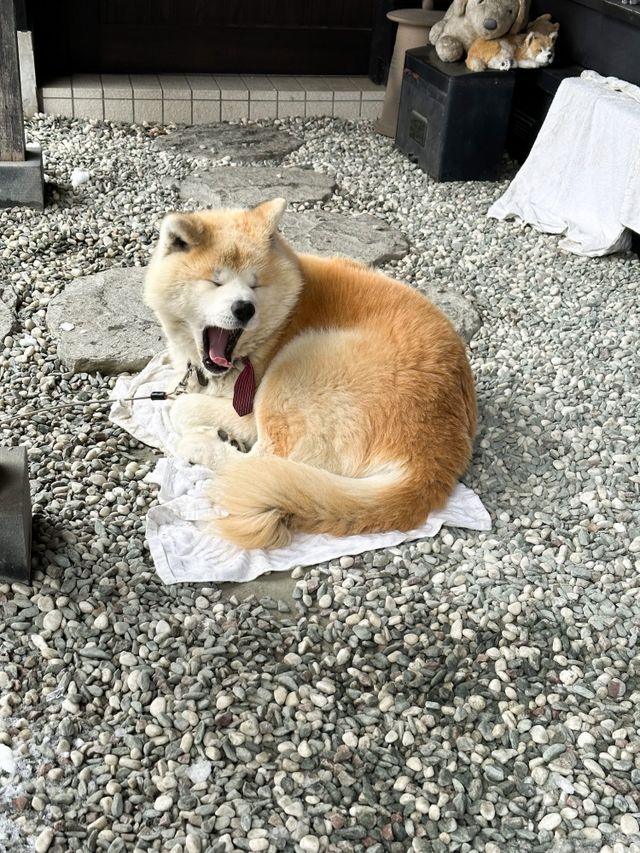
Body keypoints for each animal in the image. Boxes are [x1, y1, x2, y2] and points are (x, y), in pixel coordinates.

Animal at [144, 197, 476, 548]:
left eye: (255, 283)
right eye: (215, 281)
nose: (245, 308)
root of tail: (433, 457)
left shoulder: (249, 396)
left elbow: (183, 408)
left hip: (295, 367)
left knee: (264, 460)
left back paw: (205, 446)